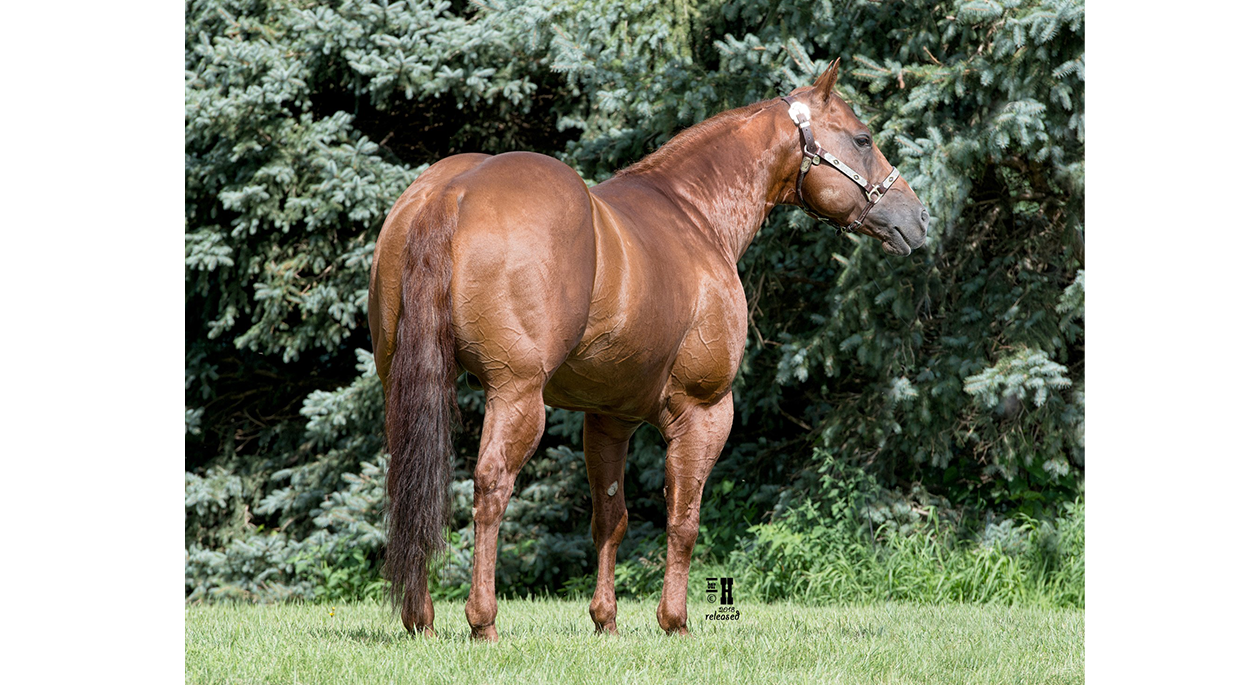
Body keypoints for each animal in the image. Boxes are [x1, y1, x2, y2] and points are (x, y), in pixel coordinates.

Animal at [368, 59, 929, 640]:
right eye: (862, 138)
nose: (919, 218)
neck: (695, 215)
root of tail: (451, 192)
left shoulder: (609, 418)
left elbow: (610, 520)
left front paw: (606, 621)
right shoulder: (704, 410)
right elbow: (684, 520)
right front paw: (674, 621)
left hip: (405, 386)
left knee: (411, 483)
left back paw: (420, 618)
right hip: (515, 393)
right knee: (491, 486)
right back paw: (483, 621)